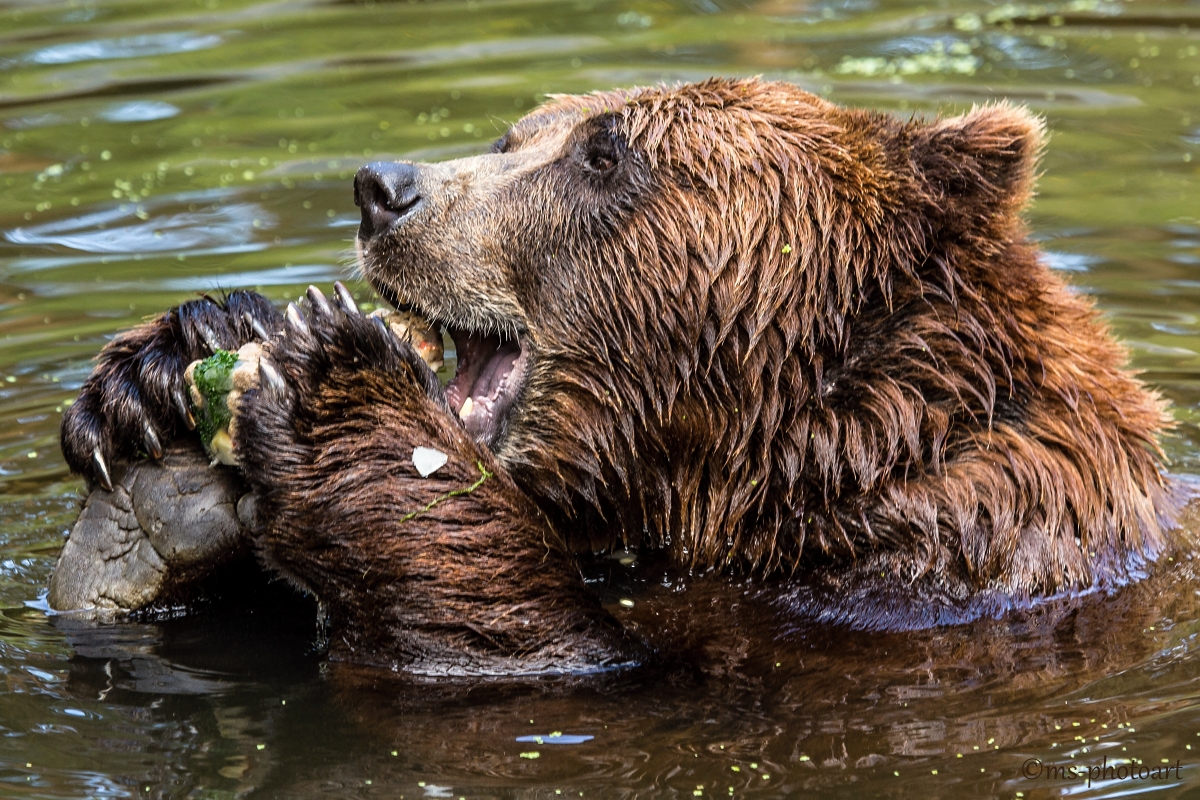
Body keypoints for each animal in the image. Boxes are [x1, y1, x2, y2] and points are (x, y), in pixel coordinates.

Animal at [54, 74, 1180, 676]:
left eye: (606, 155)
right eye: (514, 135)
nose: (385, 187)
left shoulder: (933, 581)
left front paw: (340, 382)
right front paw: (167, 385)